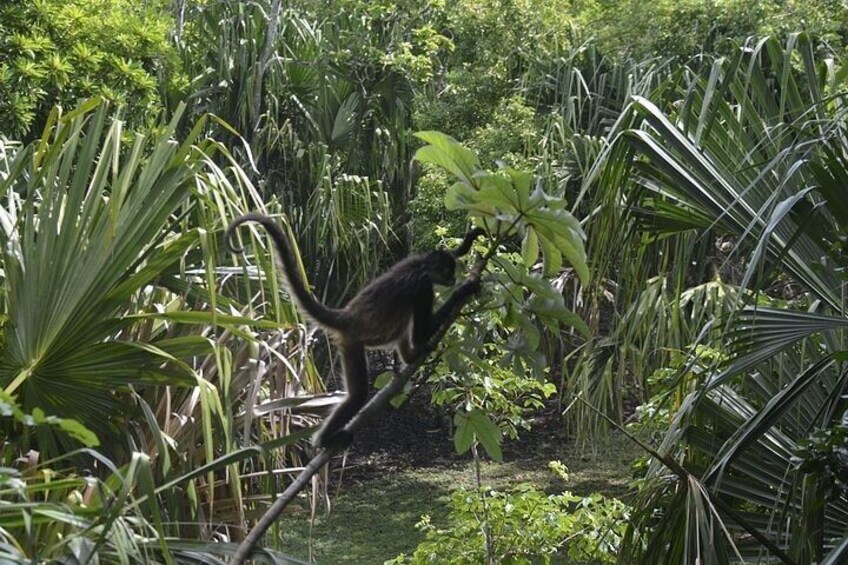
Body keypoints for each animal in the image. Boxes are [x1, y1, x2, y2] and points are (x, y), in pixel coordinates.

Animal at [227, 212, 484, 450]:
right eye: (448, 272)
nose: (453, 278)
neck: (420, 266)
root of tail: (347, 316)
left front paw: (469, 241)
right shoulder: (422, 286)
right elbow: (422, 331)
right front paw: (465, 288)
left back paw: (411, 357)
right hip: (351, 343)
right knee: (358, 394)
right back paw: (323, 441)